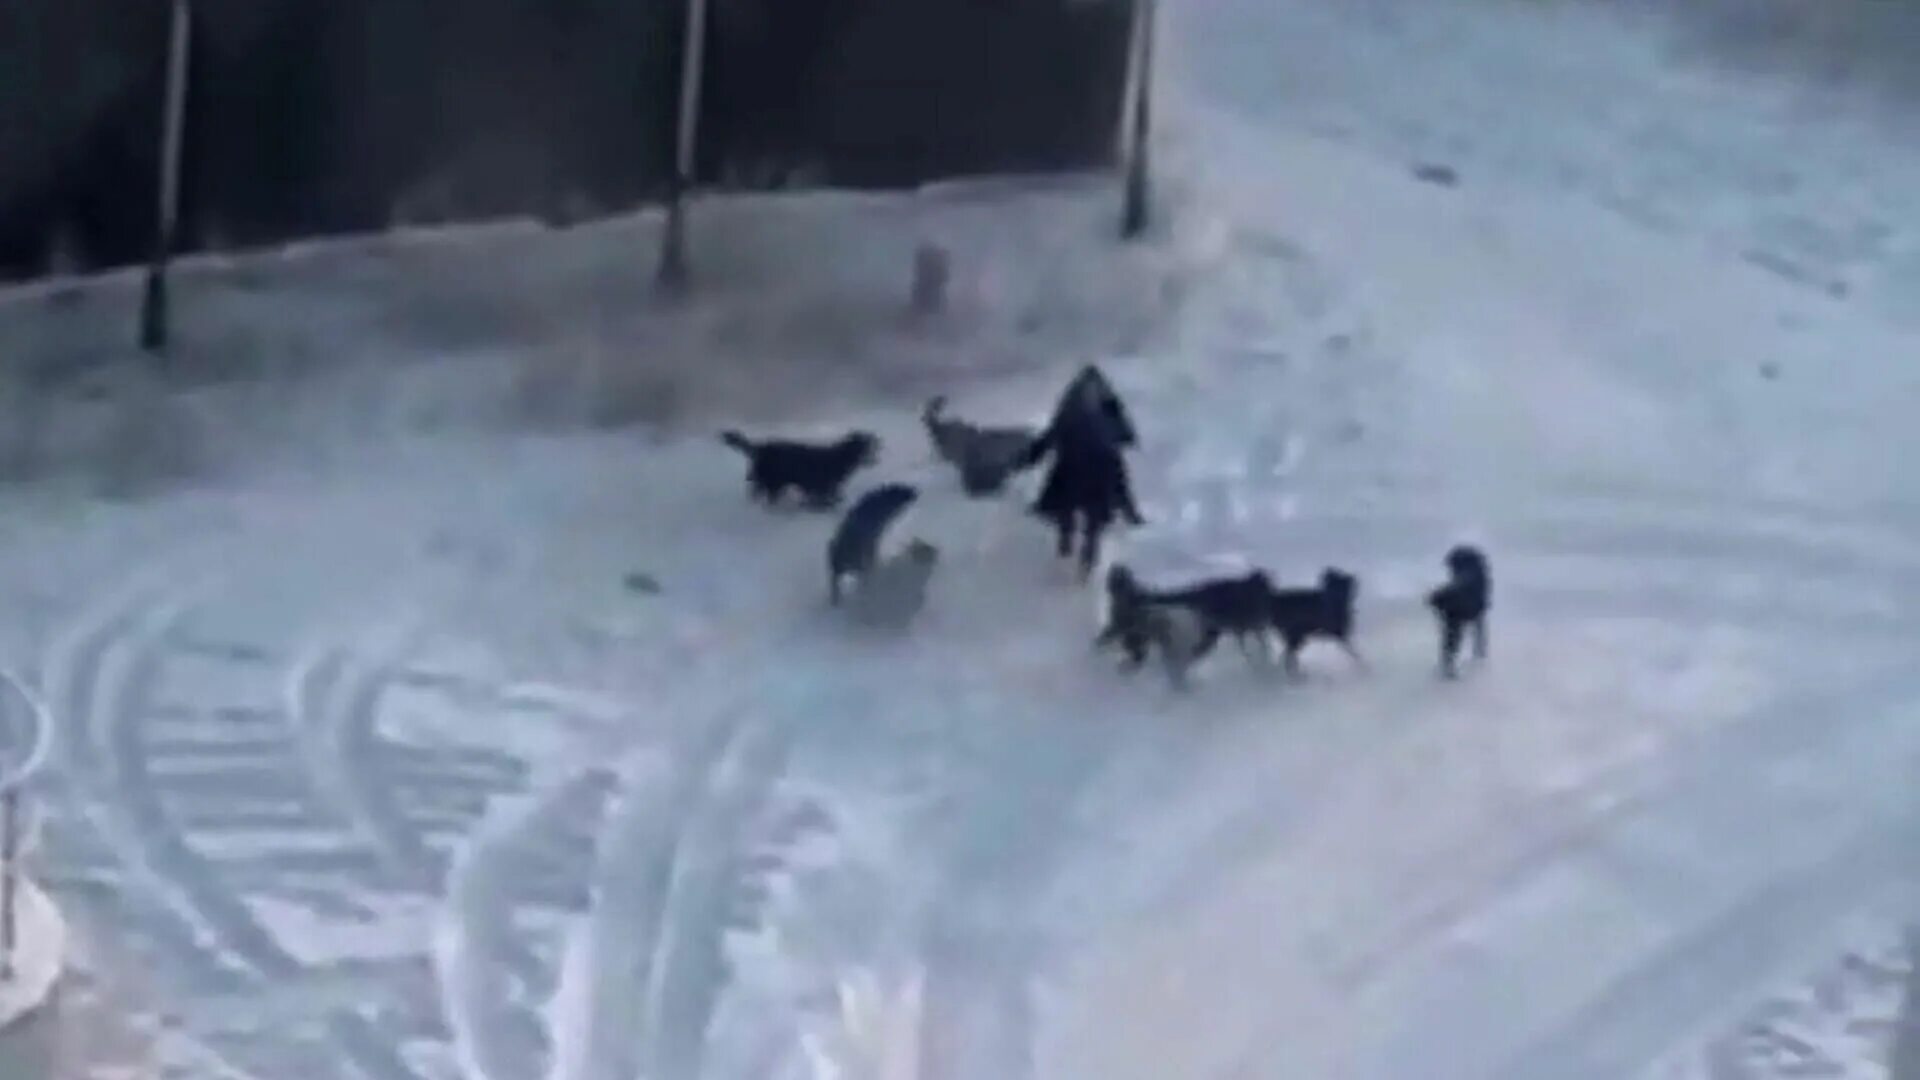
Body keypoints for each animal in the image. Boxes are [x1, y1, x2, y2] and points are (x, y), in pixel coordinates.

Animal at [721, 426, 879, 507]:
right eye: (864, 448)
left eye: (871, 447)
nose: (874, 460)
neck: (841, 457)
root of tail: (760, 447)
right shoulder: (823, 484)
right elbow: (825, 496)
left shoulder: (824, 485)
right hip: (773, 480)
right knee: (763, 493)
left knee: (757, 491)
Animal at [1436, 541, 1489, 676]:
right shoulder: (1480, 615)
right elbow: (1480, 638)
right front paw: (1481, 654)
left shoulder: (1476, 617)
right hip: (1456, 625)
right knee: (1450, 648)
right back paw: (1452, 672)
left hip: (1448, 625)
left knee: (1445, 647)